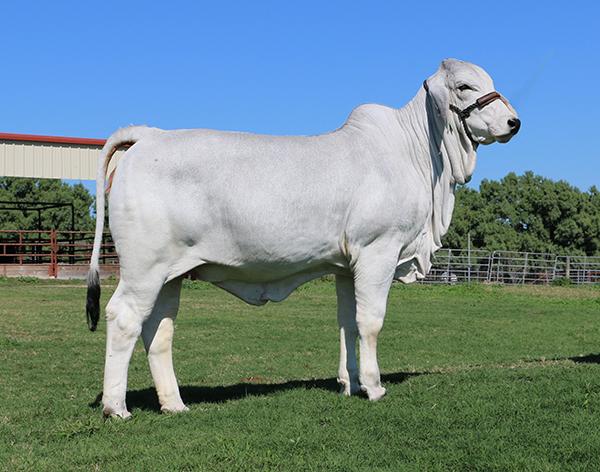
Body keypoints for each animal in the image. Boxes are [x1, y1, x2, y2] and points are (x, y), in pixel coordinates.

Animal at [88, 58, 520, 416]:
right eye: (464, 85)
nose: (514, 122)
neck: (417, 155)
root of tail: (149, 135)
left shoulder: (347, 266)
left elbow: (348, 323)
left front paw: (350, 383)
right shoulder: (378, 251)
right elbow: (371, 321)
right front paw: (374, 387)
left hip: (171, 275)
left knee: (158, 329)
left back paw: (174, 404)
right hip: (144, 268)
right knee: (124, 318)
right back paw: (116, 407)